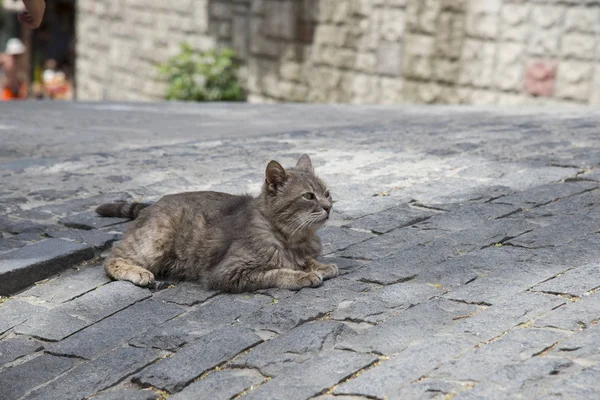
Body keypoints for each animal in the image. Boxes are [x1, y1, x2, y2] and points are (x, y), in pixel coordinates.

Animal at [95, 155, 338, 292]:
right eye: (308, 196)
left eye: (327, 193)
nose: (329, 206)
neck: (293, 238)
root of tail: (153, 204)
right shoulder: (229, 272)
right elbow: (276, 272)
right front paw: (302, 275)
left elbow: (307, 261)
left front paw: (320, 266)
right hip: (155, 242)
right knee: (113, 258)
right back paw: (139, 272)